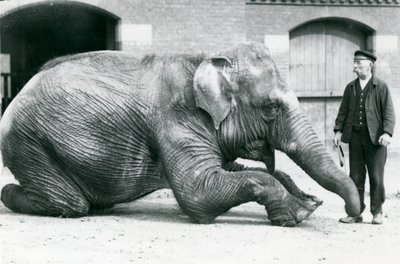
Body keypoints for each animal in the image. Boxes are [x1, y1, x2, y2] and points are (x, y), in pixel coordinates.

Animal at [0, 42, 360, 226]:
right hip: (28, 142)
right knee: (70, 203)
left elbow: (235, 171)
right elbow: (197, 194)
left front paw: (305, 200)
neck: (209, 57)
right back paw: (13, 195)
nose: (349, 215)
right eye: (271, 107)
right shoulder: (177, 118)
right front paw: (297, 213)